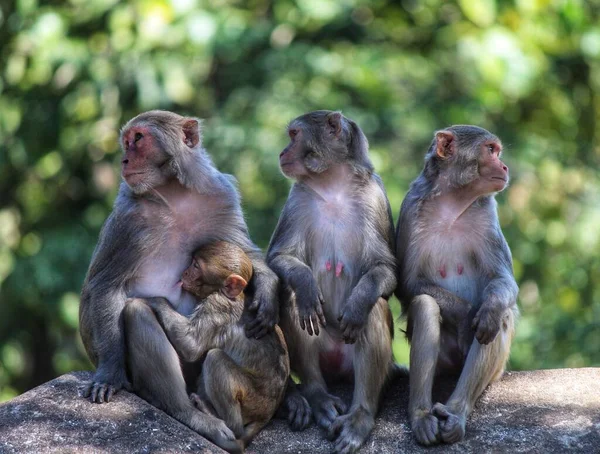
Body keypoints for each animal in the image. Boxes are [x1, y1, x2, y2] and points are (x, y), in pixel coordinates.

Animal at [143, 241, 288, 450]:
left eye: (196, 266)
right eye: (192, 262)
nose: (185, 272)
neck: (229, 294)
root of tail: (267, 416)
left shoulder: (217, 306)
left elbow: (191, 345)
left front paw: (154, 300)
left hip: (254, 401)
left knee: (215, 359)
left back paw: (221, 419)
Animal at [266, 111, 398, 454]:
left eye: (294, 135)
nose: (282, 153)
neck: (333, 184)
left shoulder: (375, 197)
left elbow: (387, 270)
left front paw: (359, 301)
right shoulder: (297, 198)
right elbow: (280, 258)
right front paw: (307, 285)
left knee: (374, 310)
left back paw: (360, 417)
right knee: (293, 300)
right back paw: (317, 396)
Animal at [396, 126, 516, 446]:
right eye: (490, 150)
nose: (504, 167)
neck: (452, 203)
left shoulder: (488, 214)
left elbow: (504, 281)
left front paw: (486, 311)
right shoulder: (411, 208)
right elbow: (408, 284)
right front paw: (464, 317)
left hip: (497, 369)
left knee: (497, 318)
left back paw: (455, 412)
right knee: (425, 304)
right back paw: (421, 416)